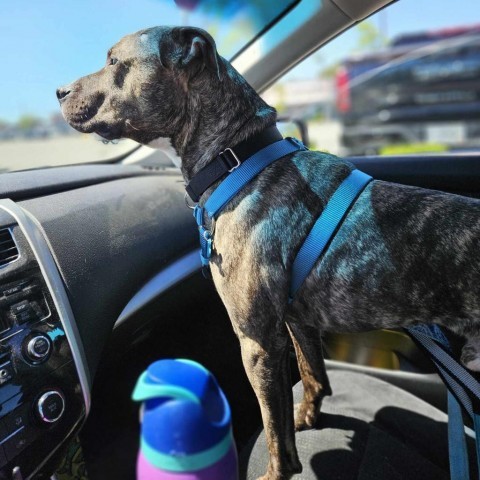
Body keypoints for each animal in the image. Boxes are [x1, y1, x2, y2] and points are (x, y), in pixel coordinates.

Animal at [58, 26, 480, 480]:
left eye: (114, 61)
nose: (59, 90)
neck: (238, 161)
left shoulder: (257, 343)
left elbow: (275, 430)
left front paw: (278, 470)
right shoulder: (298, 322)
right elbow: (314, 375)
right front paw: (308, 416)